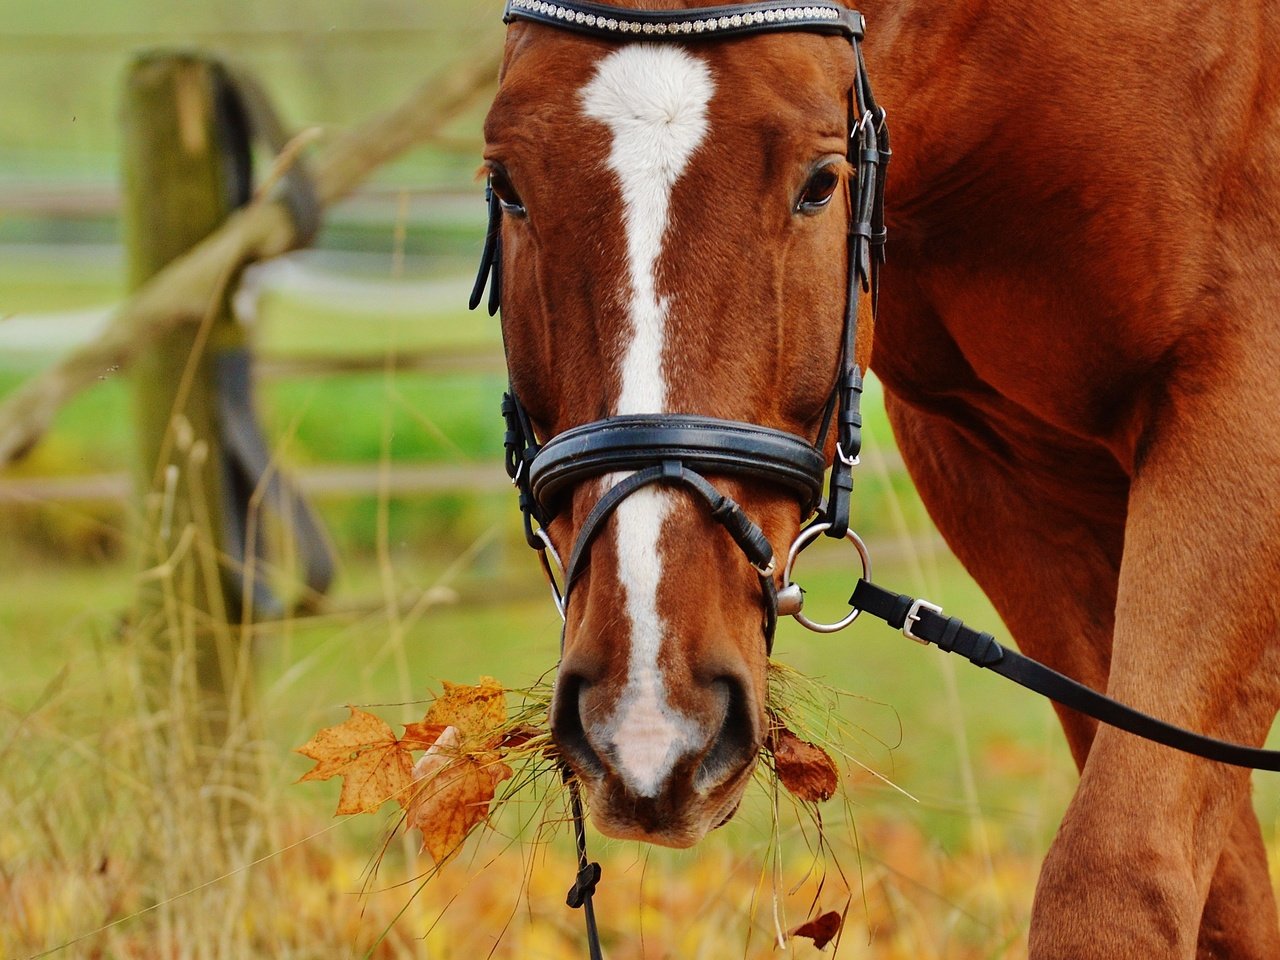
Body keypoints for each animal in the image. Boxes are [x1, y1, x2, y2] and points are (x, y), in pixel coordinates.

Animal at [478, 3, 1280, 957]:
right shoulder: (994, 467)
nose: (648, 724)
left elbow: (1120, 871)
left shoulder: (1243, 407)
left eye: (822, 184)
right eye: (508, 185)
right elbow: (1223, 894)